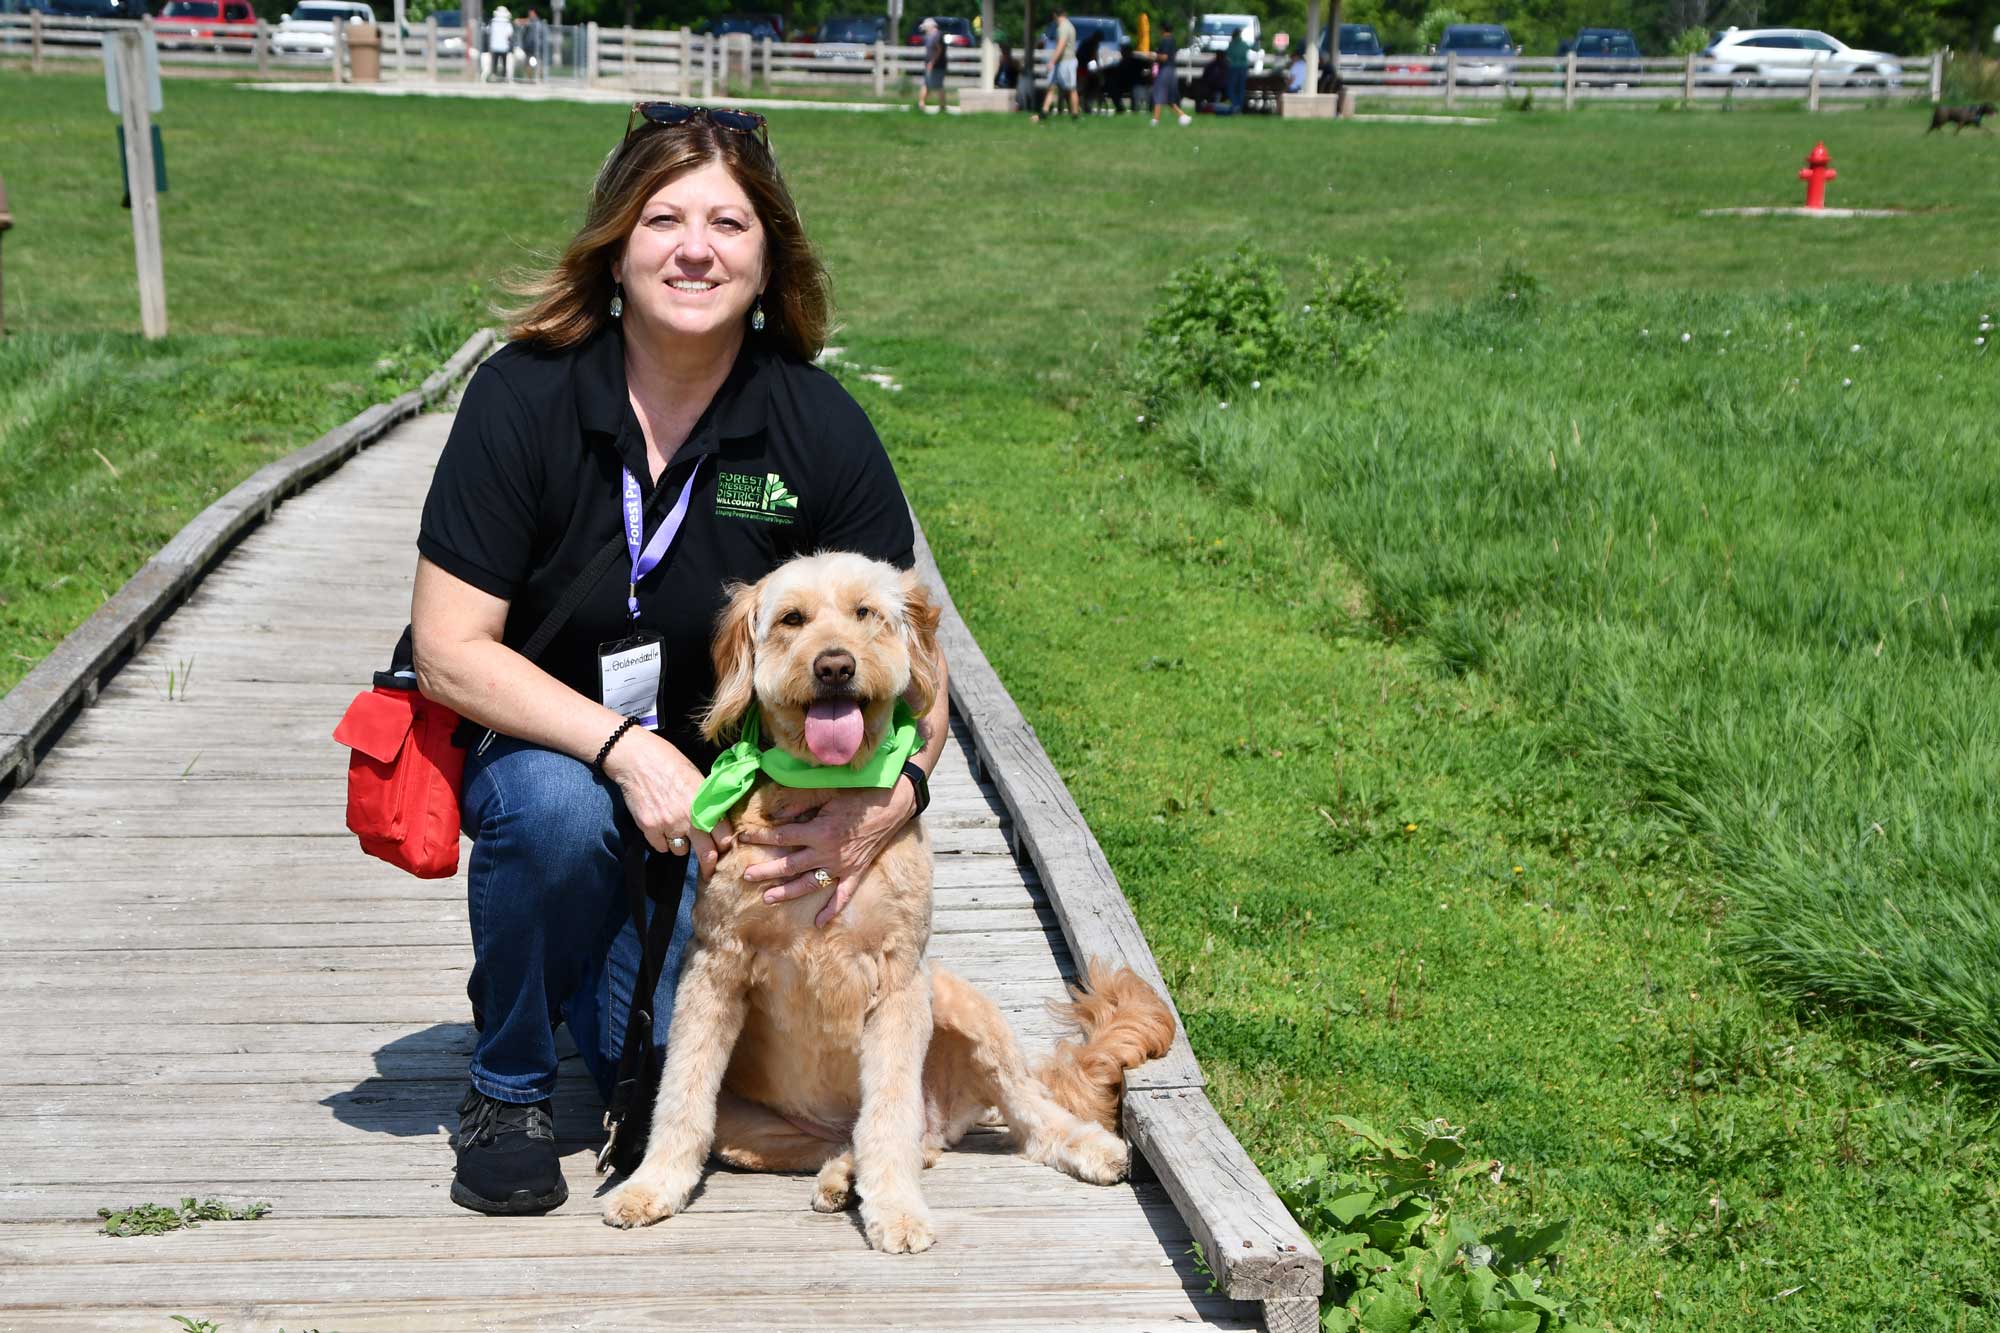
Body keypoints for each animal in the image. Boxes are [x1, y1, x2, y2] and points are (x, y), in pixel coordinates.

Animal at [600, 548, 1176, 1248]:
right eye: (792, 619)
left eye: (865, 613)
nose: (834, 665)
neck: (823, 791)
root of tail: (949, 1116)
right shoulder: (714, 968)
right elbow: (681, 1093)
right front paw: (652, 1186)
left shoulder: (900, 977)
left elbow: (890, 1112)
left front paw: (898, 1210)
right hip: (749, 1130)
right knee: (872, 1142)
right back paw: (842, 1176)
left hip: (963, 1009)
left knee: (1019, 1113)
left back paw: (1089, 1148)